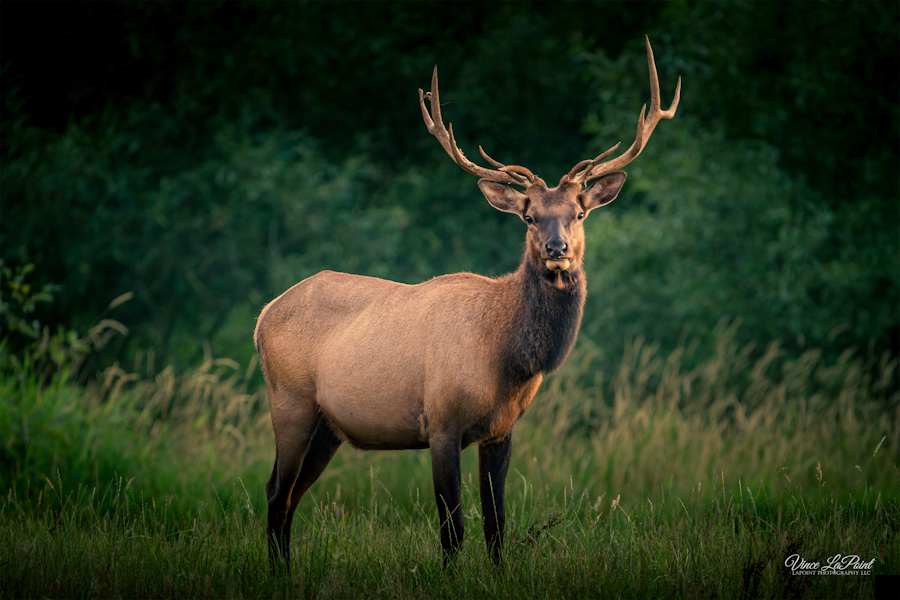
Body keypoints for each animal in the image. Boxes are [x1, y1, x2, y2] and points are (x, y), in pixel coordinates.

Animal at [255, 35, 680, 571]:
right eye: (529, 217)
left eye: (579, 213)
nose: (556, 250)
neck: (505, 358)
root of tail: (263, 315)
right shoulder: (441, 421)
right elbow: (452, 528)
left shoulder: (501, 430)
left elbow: (497, 523)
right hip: (289, 399)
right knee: (276, 492)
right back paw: (279, 573)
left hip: (328, 424)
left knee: (288, 494)